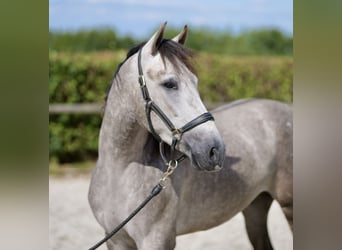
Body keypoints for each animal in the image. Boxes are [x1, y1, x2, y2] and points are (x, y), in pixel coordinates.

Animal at [88, 23, 292, 250]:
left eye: (195, 82)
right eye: (169, 84)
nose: (215, 151)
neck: (119, 172)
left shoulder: (156, 240)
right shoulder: (116, 240)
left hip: (289, 207)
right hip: (255, 206)